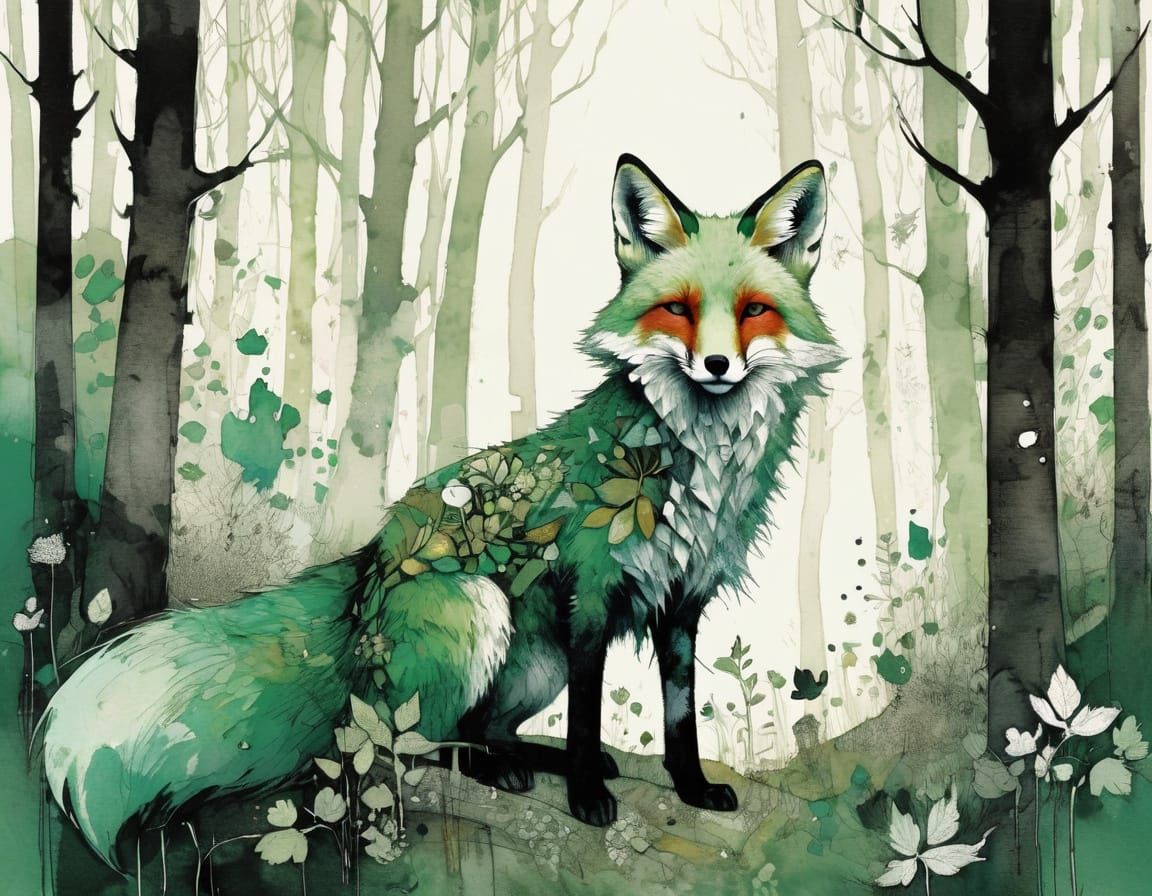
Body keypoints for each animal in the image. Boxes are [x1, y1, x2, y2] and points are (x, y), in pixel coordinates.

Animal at [41, 154, 841, 865]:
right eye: (678, 310)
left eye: (754, 312)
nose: (718, 367)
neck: (697, 466)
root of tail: (368, 574)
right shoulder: (590, 591)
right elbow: (589, 720)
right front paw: (588, 799)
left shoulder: (684, 597)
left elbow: (680, 716)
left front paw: (692, 788)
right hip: (481, 611)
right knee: (414, 752)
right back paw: (509, 773)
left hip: (533, 661)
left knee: (480, 732)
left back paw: (528, 760)